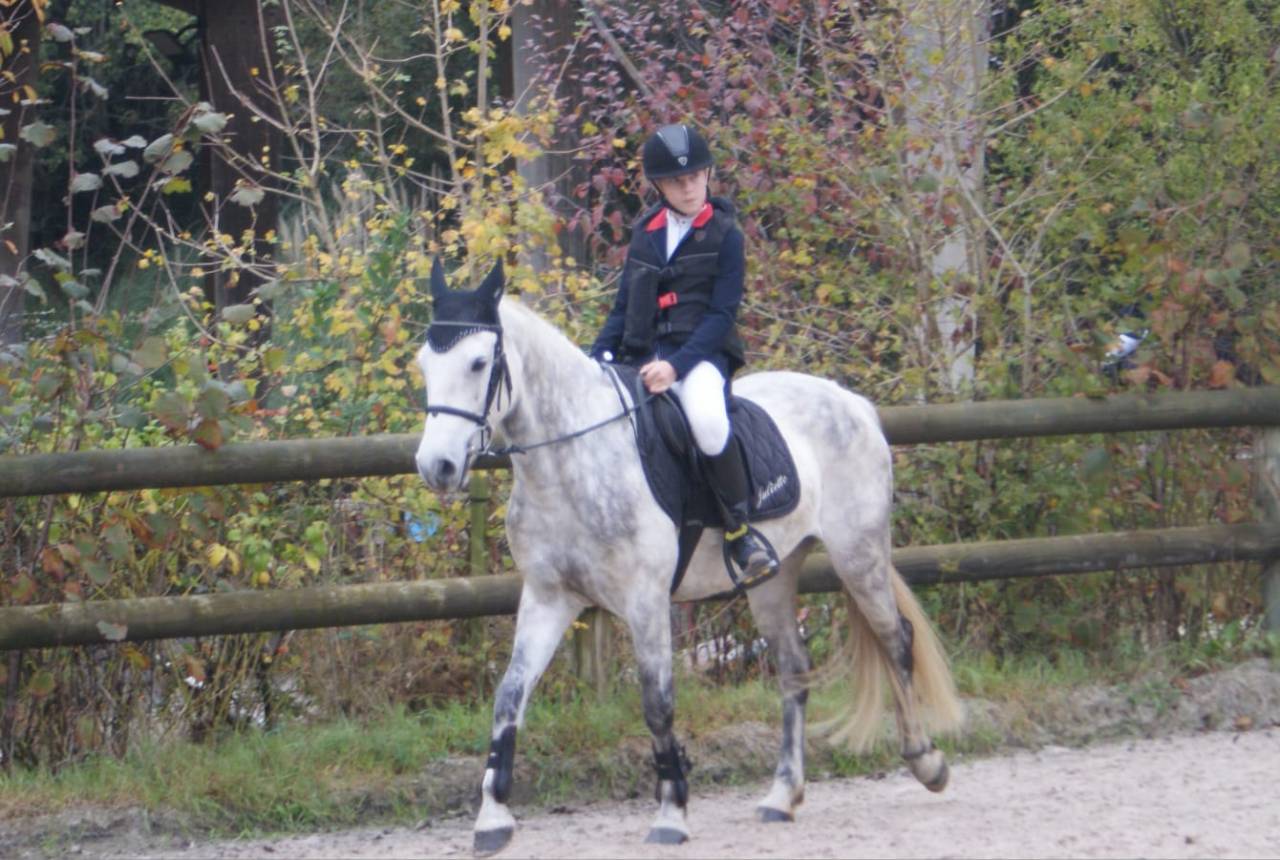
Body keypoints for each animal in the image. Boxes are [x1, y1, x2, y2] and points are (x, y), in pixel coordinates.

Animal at [413, 258, 964, 855]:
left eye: (478, 362)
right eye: (425, 363)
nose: (437, 467)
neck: (569, 459)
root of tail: (853, 403)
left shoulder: (646, 599)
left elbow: (657, 703)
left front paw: (672, 812)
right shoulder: (549, 597)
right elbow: (509, 695)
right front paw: (492, 818)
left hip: (857, 554)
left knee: (896, 641)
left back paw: (927, 762)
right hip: (774, 579)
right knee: (794, 669)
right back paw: (782, 796)